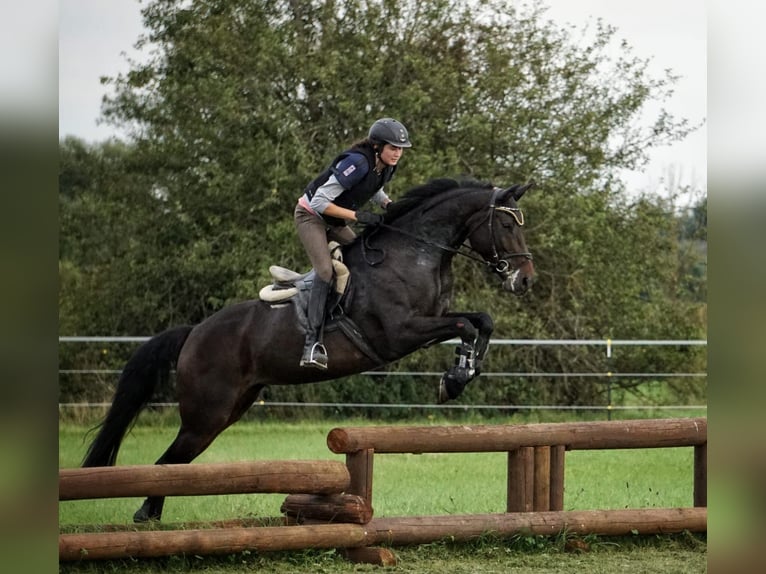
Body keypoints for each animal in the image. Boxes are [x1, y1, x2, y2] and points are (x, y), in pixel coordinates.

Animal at [82, 178, 536, 524]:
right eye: (507, 225)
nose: (526, 280)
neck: (416, 253)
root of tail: (194, 333)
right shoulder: (400, 332)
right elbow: (466, 325)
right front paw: (454, 380)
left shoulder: (431, 321)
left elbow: (480, 321)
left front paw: (462, 373)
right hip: (206, 414)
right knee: (168, 463)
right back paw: (146, 517)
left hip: (231, 409)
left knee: (175, 462)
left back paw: (150, 516)